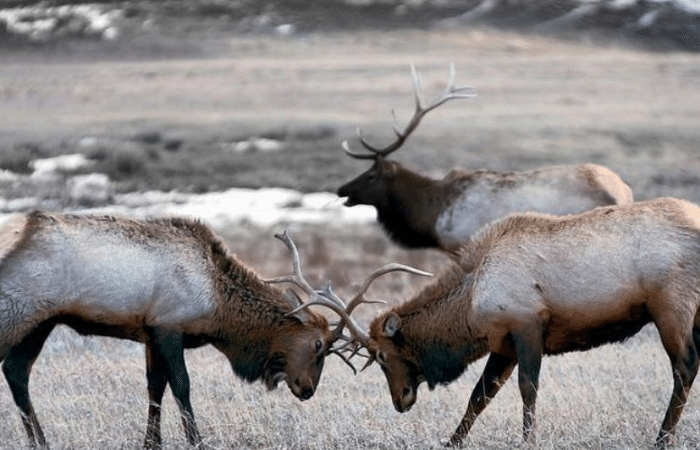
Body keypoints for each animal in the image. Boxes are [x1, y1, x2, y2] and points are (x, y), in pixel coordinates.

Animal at [0, 212, 426, 450]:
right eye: (319, 345)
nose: (307, 390)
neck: (218, 306)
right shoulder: (168, 327)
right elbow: (181, 388)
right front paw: (197, 441)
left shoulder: (150, 332)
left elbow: (154, 389)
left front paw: (151, 443)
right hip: (19, 314)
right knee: (14, 369)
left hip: (39, 323)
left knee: (16, 371)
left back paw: (40, 441)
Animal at [356, 199, 700, 448]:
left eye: (382, 355)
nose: (400, 400)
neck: (471, 303)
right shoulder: (503, 345)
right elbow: (479, 397)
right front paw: (451, 442)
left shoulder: (528, 325)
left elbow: (528, 389)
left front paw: (528, 440)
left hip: (671, 308)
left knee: (685, 368)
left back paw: (662, 439)